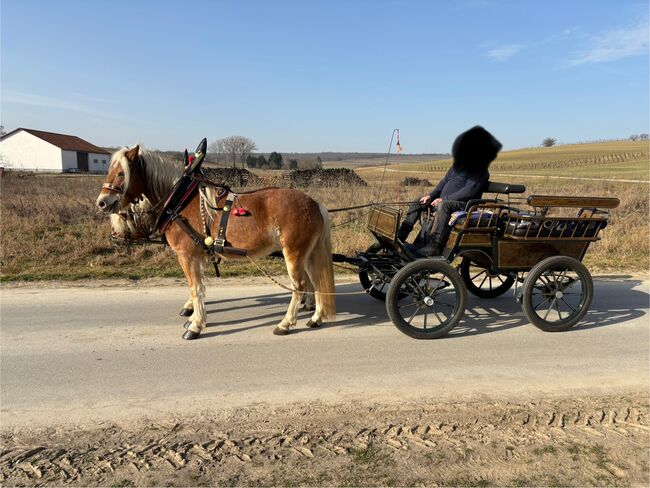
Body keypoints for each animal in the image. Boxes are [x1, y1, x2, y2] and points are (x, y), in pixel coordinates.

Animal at [95, 143, 334, 338]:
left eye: (121, 173)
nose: (102, 202)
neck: (179, 201)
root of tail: (315, 204)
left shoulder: (187, 256)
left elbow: (195, 288)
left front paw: (195, 325)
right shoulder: (198, 255)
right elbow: (198, 287)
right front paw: (194, 317)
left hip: (293, 252)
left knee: (300, 285)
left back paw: (285, 323)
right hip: (307, 253)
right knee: (316, 280)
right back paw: (316, 317)